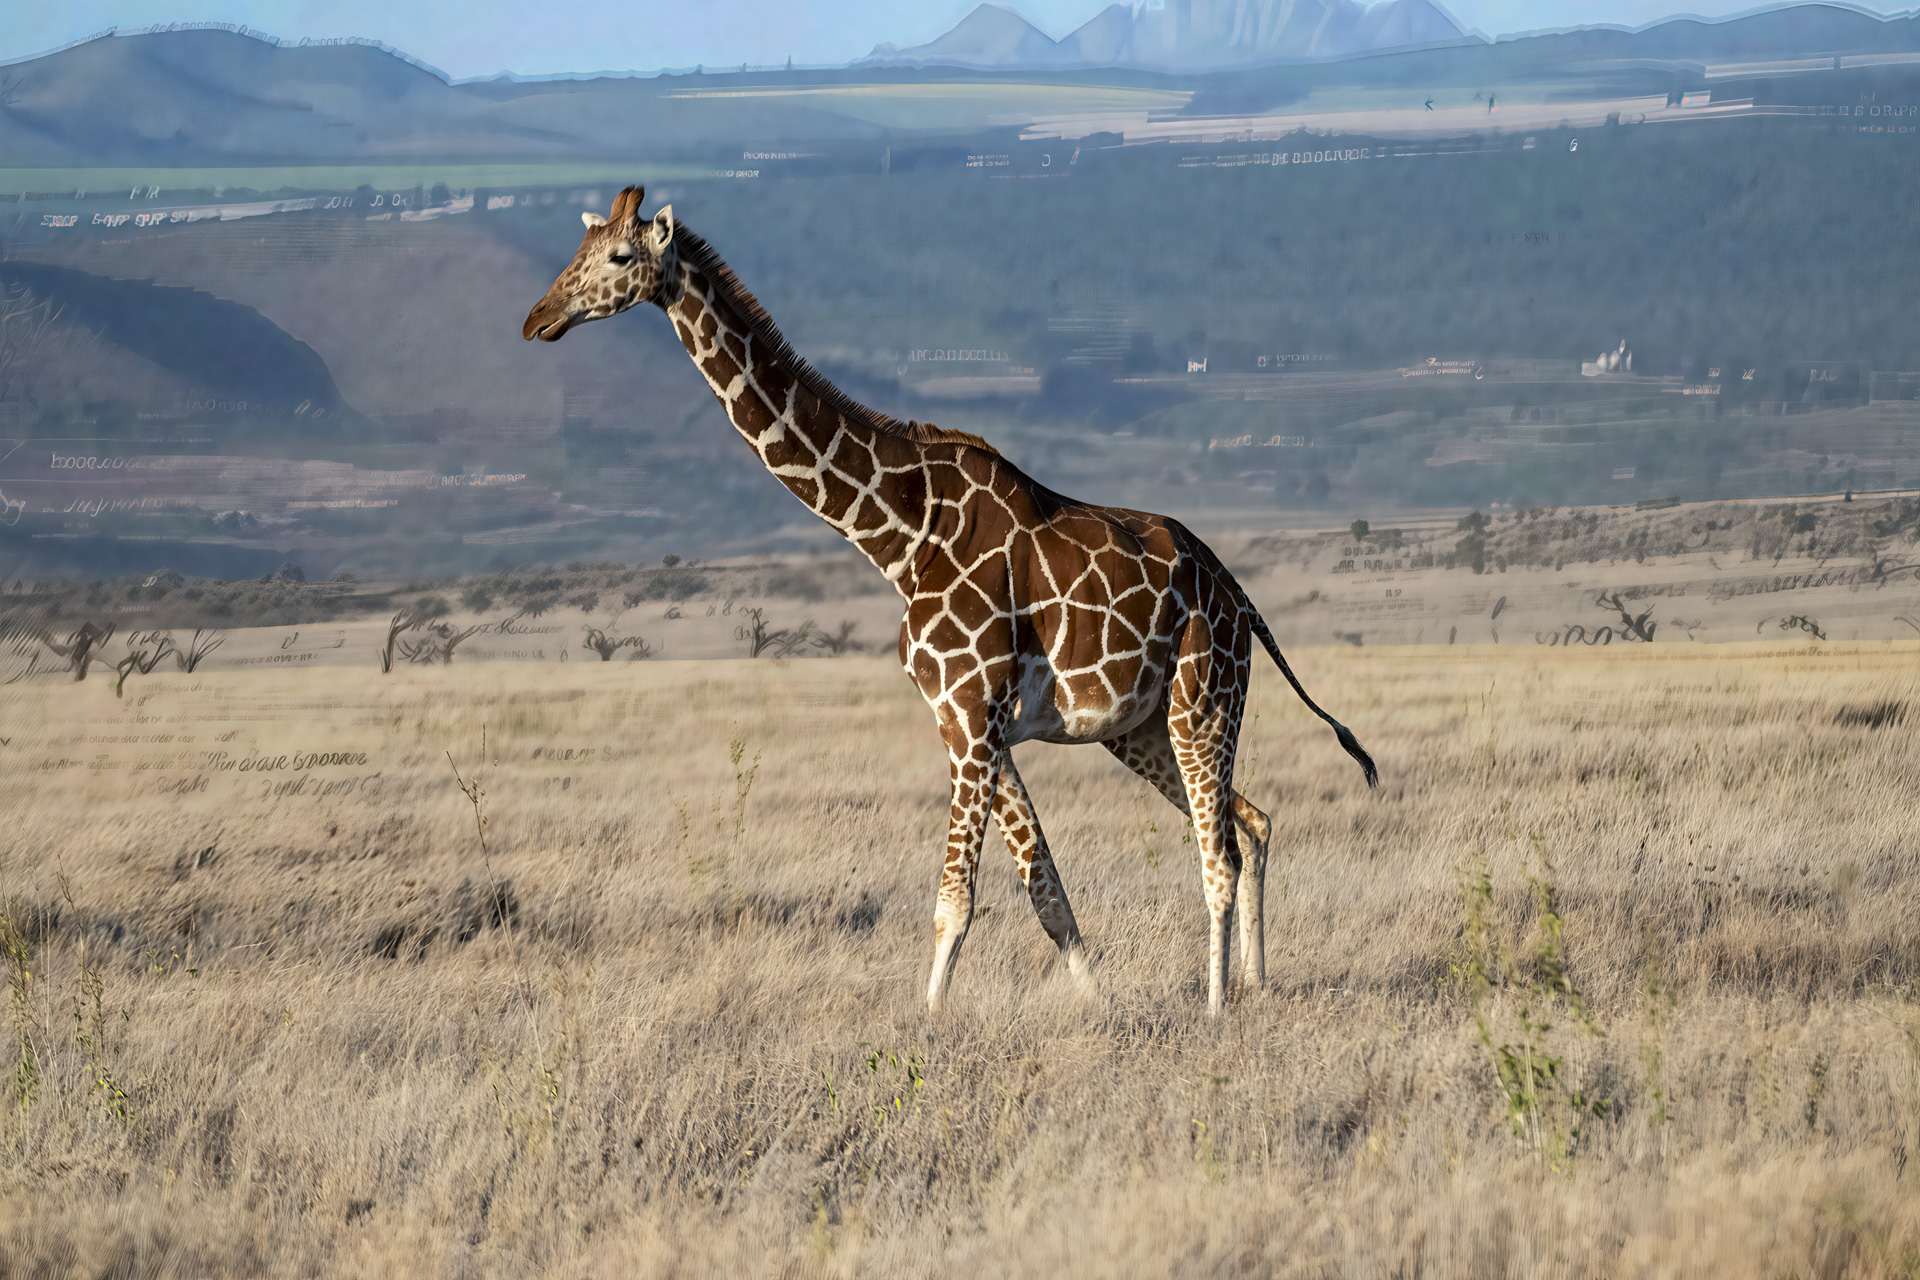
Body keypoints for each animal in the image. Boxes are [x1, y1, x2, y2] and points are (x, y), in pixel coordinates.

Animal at [524, 187, 1377, 1015]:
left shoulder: (972, 717)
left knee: (1218, 855)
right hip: (1136, 726)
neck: (902, 535)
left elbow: (954, 902)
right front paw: (1098, 1006)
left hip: (1205, 700)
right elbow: (1046, 892)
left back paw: (1216, 1010)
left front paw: (927, 1029)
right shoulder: (966, 722)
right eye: (577, 248)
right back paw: (1255, 984)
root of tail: (1237, 593)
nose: (538, 319)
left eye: (619, 255)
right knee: (1252, 822)